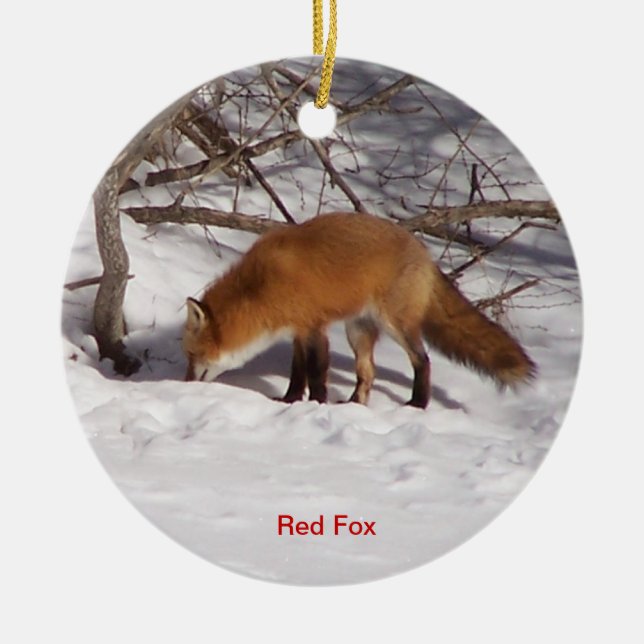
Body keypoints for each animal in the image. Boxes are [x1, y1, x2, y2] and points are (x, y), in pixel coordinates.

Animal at [183, 212, 536, 408]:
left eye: (193, 355)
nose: (184, 384)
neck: (261, 287)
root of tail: (423, 251)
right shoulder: (298, 331)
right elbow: (298, 373)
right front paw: (290, 400)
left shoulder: (314, 328)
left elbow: (316, 372)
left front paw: (316, 405)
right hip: (358, 331)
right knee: (368, 374)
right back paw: (354, 406)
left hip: (395, 324)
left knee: (422, 360)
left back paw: (417, 404)